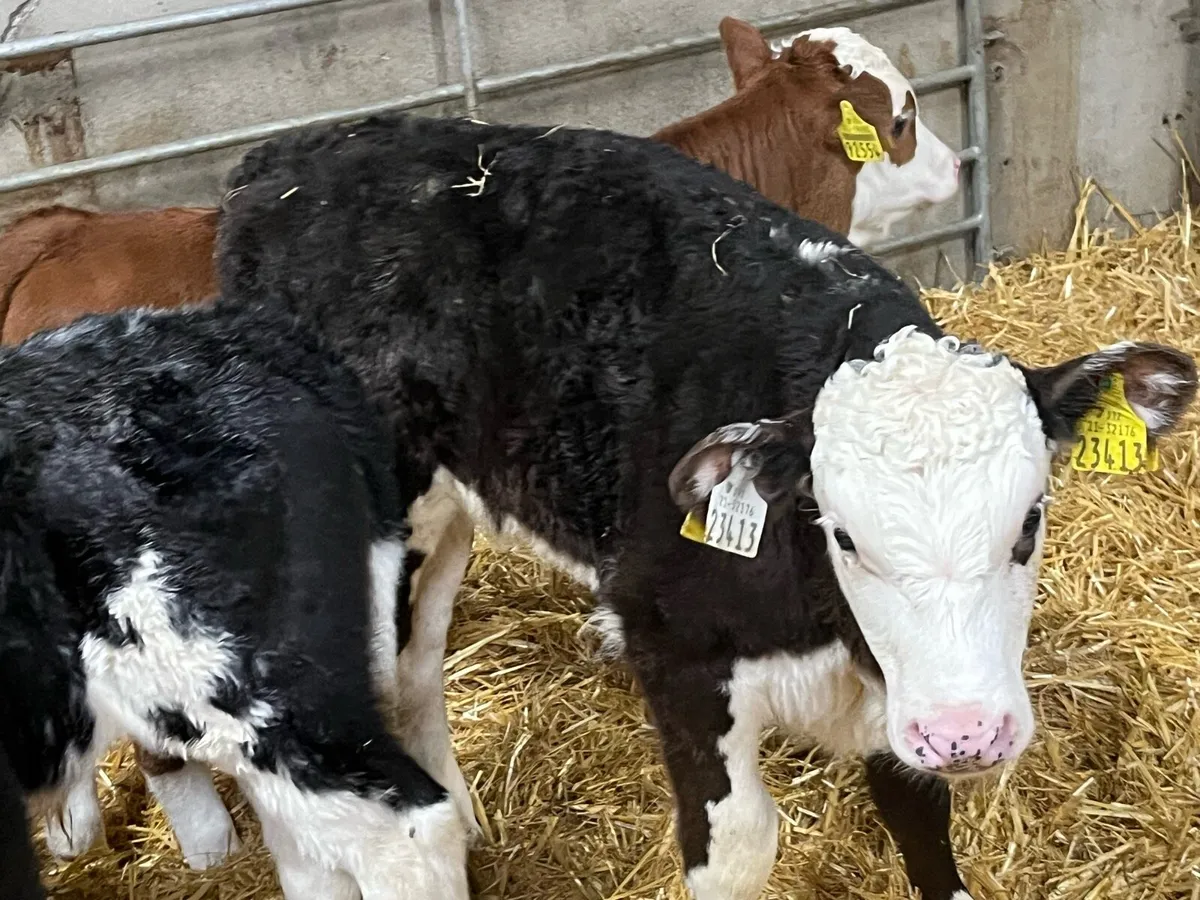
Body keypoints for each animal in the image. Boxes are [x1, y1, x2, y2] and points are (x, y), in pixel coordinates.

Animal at [202, 113, 1197, 899]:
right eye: (844, 535)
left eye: (1030, 521)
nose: (970, 734)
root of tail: (288, 158)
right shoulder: (674, 647)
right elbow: (738, 846)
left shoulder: (901, 688)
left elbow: (921, 822)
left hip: (443, 514)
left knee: (414, 665)